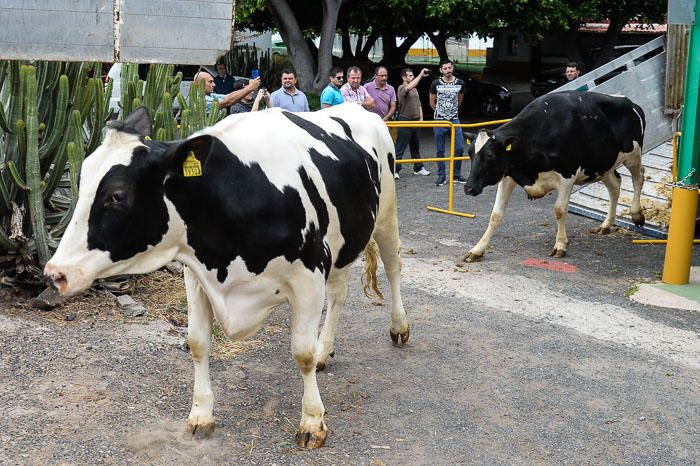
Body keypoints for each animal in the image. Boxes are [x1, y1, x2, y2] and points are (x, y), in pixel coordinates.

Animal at [43, 104, 410, 448]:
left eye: (117, 195)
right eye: (81, 182)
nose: (55, 273)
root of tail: (358, 107)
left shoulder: (308, 274)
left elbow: (301, 353)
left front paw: (311, 422)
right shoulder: (196, 275)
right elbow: (197, 343)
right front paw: (201, 415)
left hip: (386, 214)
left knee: (392, 268)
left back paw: (398, 327)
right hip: (343, 243)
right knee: (338, 293)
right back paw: (326, 350)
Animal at [462, 89, 648, 260]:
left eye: (490, 155)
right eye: (470, 153)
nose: (468, 188)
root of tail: (631, 103)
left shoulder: (567, 176)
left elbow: (559, 210)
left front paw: (560, 245)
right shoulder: (508, 175)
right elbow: (496, 214)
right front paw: (477, 249)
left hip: (633, 155)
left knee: (639, 177)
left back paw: (637, 214)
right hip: (603, 164)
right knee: (615, 185)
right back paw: (606, 224)